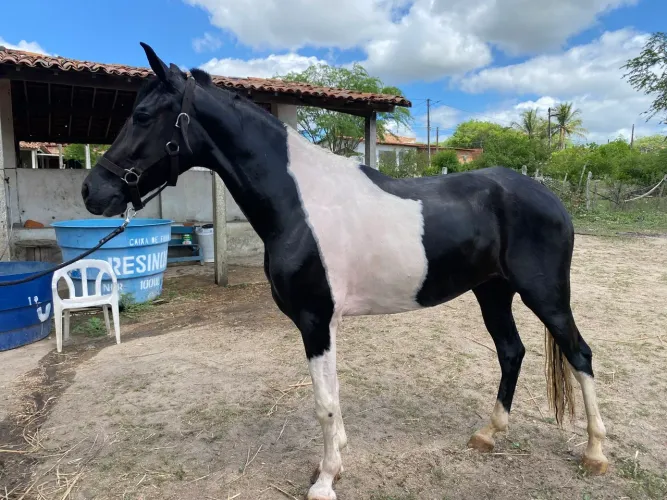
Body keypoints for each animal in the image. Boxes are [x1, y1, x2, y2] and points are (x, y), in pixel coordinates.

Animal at [81, 43, 608, 500]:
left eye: (143, 117)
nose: (93, 191)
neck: (300, 203)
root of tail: (548, 196)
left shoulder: (315, 320)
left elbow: (324, 403)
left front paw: (325, 479)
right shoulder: (326, 323)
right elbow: (332, 395)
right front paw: (335, 458)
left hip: (546, 295)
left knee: (579, 354)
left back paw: (595, 454)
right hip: (492, 292)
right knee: (511, 351)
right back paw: (488, 434)